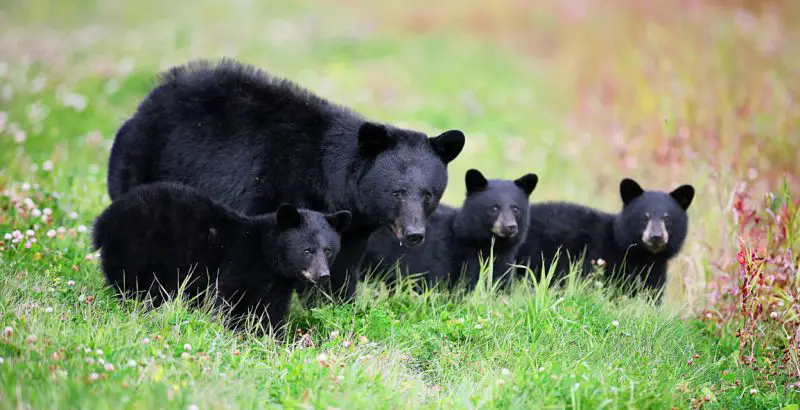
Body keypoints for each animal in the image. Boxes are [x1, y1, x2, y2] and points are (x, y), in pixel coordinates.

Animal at [91, 181, 351, 333]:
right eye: (307, 250)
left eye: (328, 250)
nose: (322, 275)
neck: (266, 253)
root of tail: (104, 220)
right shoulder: (239, 262)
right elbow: (227, 297)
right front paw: (231, 330)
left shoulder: (277, 284)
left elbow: (272, 310)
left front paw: (274, 337)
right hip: (137, 249)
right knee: (132, 285)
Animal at [105, 58, 466, 303]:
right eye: (397, 192)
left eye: (429, 194)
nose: (415, 234)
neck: (328, 180)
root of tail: (147, 100)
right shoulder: (270, 187)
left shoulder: (351, 229)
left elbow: (342, 265)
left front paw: (336, 304)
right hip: (141, 161)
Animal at [515, 178, 695, 299]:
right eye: (644, 217)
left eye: (667, 218)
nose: (656, 237)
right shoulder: (600, 255)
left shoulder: (656, 269)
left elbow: (651, 293)